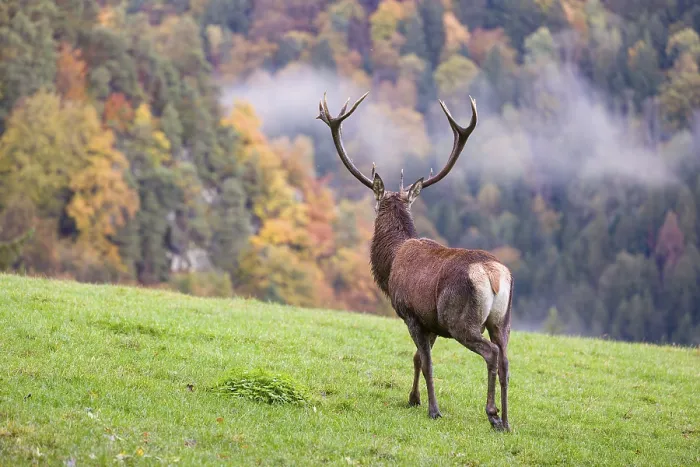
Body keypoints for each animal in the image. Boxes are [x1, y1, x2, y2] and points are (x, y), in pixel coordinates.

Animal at [316, 91, 513, 432]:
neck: (390, 263)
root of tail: (493, 274)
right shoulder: (429, 320)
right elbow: (418, 358)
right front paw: (413, 398)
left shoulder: (410, 313)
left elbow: (427, 361)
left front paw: (433, 408)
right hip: (502, 320)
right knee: (505, 358)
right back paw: (508, 420)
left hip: (460, 320)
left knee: (490, 354)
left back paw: (491, 414)